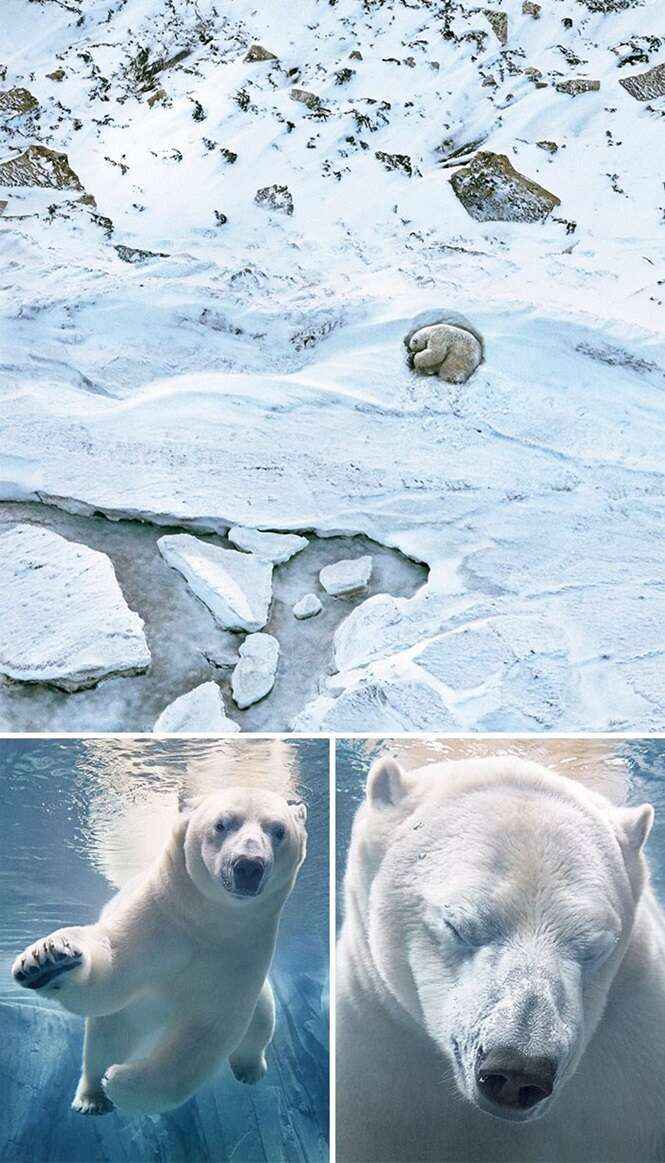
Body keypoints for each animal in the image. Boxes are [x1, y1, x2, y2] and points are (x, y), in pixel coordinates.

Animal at [11, 790, 306, 1116]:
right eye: (221, 824)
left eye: (278, 830)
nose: (248, 866)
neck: (207, 919)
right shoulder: (157, 915)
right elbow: (111, 973)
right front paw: (46, 961)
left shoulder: (241, 952)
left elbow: (205, 1034)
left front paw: (120, 1082)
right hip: (130, 1016)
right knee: (105, 1039)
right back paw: (91, 1099)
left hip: (260, 993)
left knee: (262, 1020)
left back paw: (249, 1069)